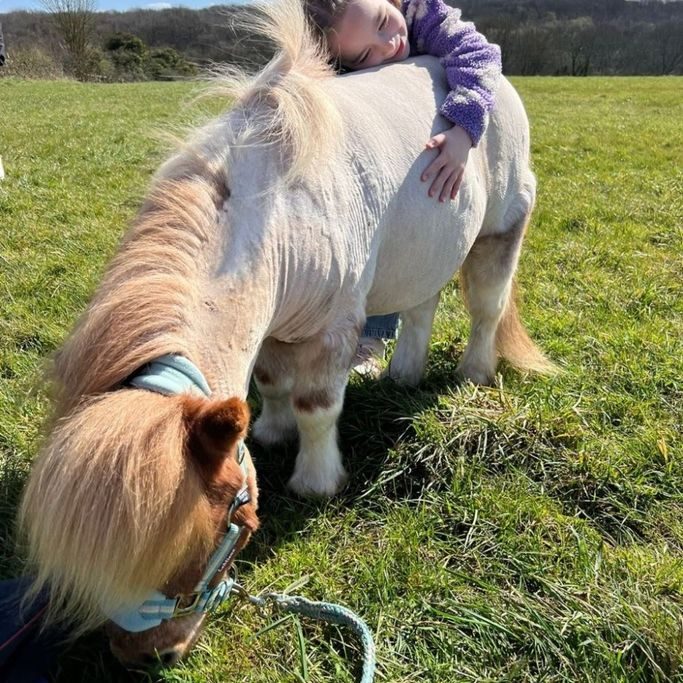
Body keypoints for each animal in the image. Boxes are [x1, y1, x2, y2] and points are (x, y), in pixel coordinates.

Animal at [18, 0, 553, 668]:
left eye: (216, 537)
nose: (145, 655)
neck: (276, 211)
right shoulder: (273, 324)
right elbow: (272, 383)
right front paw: (270, 433)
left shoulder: (333, 327)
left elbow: (317, 405)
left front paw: (317, 481)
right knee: (422, 304)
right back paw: (403, 374)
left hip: (503, 226)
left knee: (486, 306)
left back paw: (474, 374)